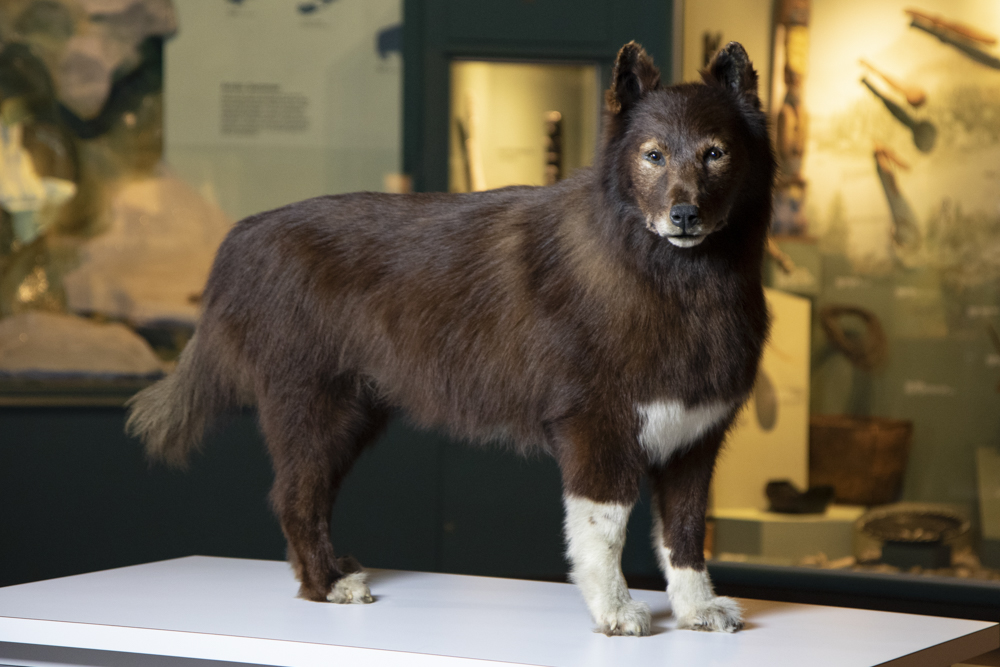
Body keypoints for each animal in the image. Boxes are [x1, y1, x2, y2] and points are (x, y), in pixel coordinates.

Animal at [127, 40, 772, 636]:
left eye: (715, 153)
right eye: (653, 155)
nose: (684, 215)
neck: (674, 282)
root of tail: (242, 237)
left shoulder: (693, 440)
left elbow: (684, 534)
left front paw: (696, 610)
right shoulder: (597, 431)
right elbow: (603, 533)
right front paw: (614, 612)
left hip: (350, 417)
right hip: (312, 411)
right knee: (294, 499)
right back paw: (329, 584)